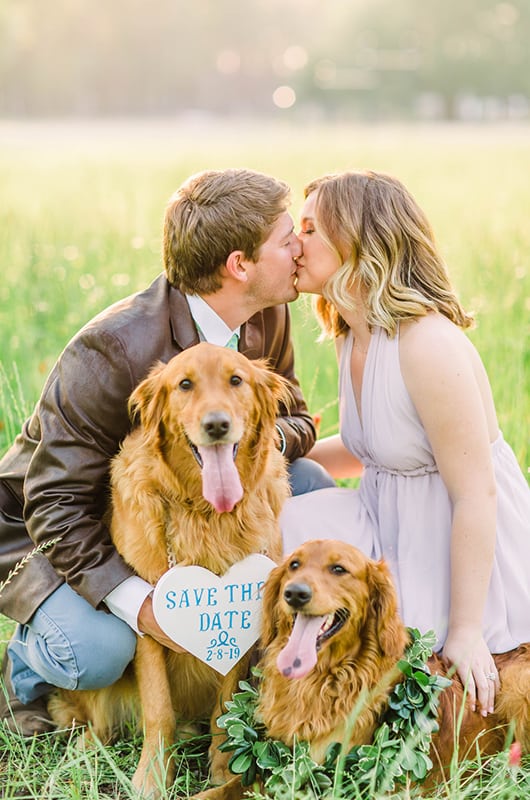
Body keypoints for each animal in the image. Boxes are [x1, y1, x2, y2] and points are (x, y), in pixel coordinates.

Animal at [48, 346, 290, 800]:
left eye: (236, 380)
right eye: (185, 384)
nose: (216, 425)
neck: (204, 511)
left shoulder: (239, 628)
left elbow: (225, 708)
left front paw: (221, 769)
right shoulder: (147, 618)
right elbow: (158, 708)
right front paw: (152, 777)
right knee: (94, 716)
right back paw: (86, 748)